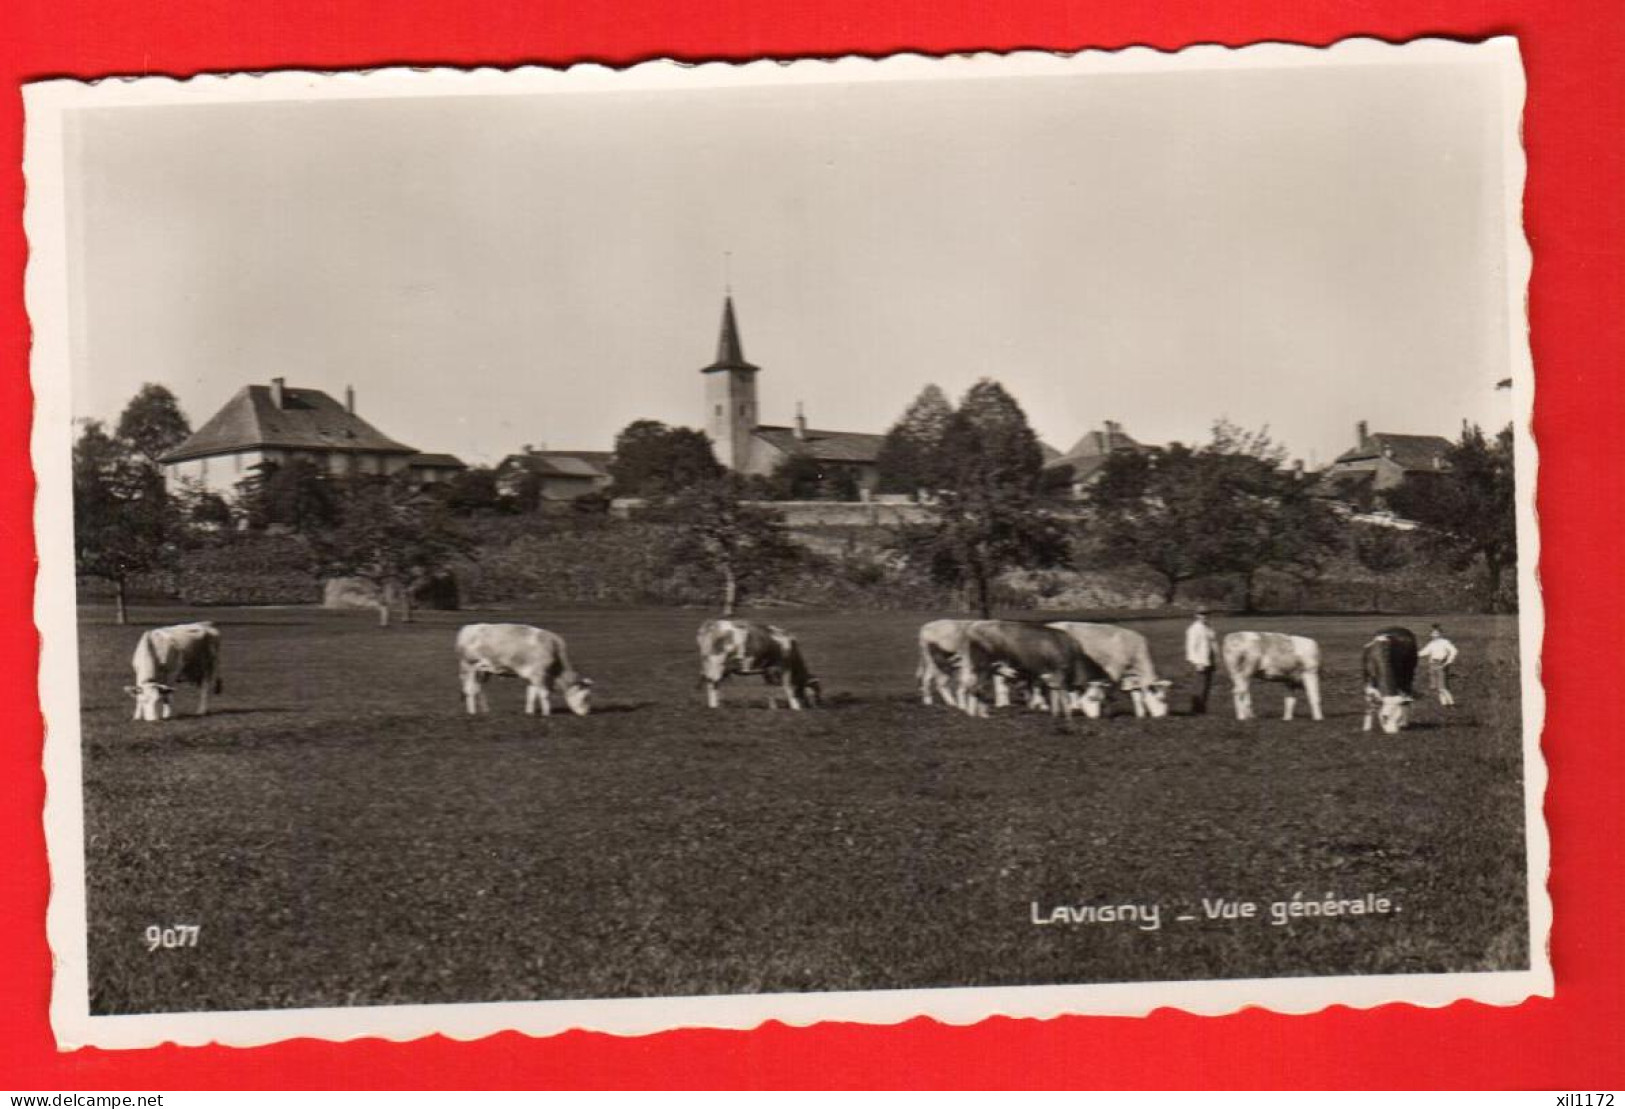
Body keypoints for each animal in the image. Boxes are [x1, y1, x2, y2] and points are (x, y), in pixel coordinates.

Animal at [455, 621, 594, 715]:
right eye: (586, 697)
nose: (586, 713)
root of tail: (468, 627)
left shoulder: (531, 676)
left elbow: (531, 695)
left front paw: (529, 713)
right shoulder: (539, 674)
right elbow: (544, 694)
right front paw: (547, 714)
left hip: (483, 670)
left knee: (478, 688)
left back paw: (485, 711)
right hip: (469, 666)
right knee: (469, 690)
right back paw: (472, 713)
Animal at [955, 621, 1111, 715]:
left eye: (1102, 699)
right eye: (1092, 698)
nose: (1095, 718)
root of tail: (974, 627)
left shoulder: (1041, 675)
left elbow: (1049, 693)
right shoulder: (1055, 673)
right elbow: (1055, 695)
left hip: (978, 668)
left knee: (971, 688)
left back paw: (973, 713)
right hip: (984, 667)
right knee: (976, 688)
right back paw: (982, 714)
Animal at [1046, 621, 1176, 715]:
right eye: (1162, 699)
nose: (1162, 716)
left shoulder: (1130, 677)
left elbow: (1136, 696)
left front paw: (1140, 716)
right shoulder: (1114, 669)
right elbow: (1109, 690)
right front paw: (1106, 711)